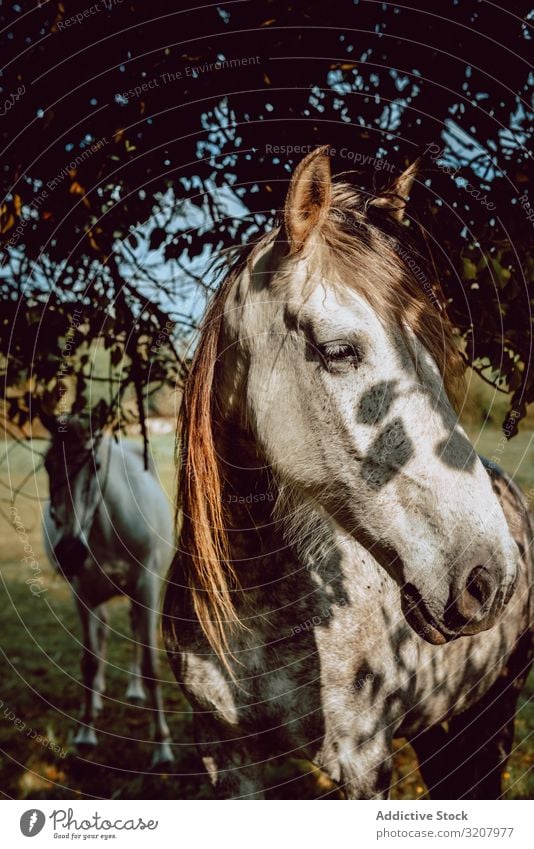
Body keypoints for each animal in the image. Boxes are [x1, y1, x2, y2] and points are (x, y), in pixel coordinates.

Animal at [42, 418, 176, 768]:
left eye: (96, 465)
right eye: (47, 465)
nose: (70, 552)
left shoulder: (146, 588)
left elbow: (151, 665)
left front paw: (162, 747)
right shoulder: (81, 593)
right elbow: (88, 662)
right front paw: (85, 733)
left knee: (132, 631)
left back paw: (134, 690)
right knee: (102, 631)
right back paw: (98, 695)